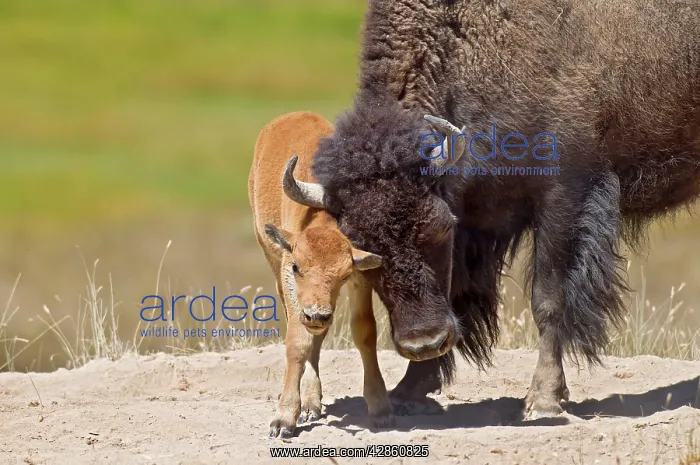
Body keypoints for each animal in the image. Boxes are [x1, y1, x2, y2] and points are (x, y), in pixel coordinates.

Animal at [249, 111, 398, 438]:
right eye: (297, 266)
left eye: (344, 274)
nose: (317, 314)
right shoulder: (289, 278)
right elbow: (297, 343)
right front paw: (283, 421)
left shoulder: (359, 280)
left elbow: (364, 333)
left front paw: (381, 409)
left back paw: (311, 403)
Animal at [281, 0, 700, 420]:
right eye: (362, 249)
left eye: (439, 227)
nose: (423, 342)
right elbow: (457, 293)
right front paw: (409, 390)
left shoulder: (563, 196)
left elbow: (548, 298)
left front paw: (543, 400)